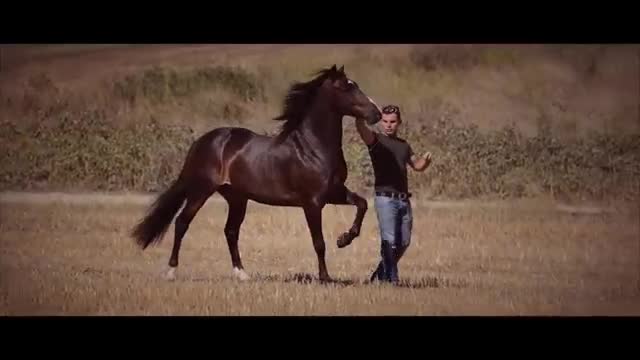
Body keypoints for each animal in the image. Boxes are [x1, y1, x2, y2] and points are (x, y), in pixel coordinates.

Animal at [130, 64, 380, 284]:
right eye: (346, 87)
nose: (376, 113)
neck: (313, 148)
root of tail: (202, 141)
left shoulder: (334, 193)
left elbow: (362, 204)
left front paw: (344, 239)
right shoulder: (312, 202)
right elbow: (319, 242)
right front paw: (326, 277)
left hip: (237, 198)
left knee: (230, 231)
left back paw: (242, 274)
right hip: (202, 190)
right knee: (182, 222)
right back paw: (171, 272)